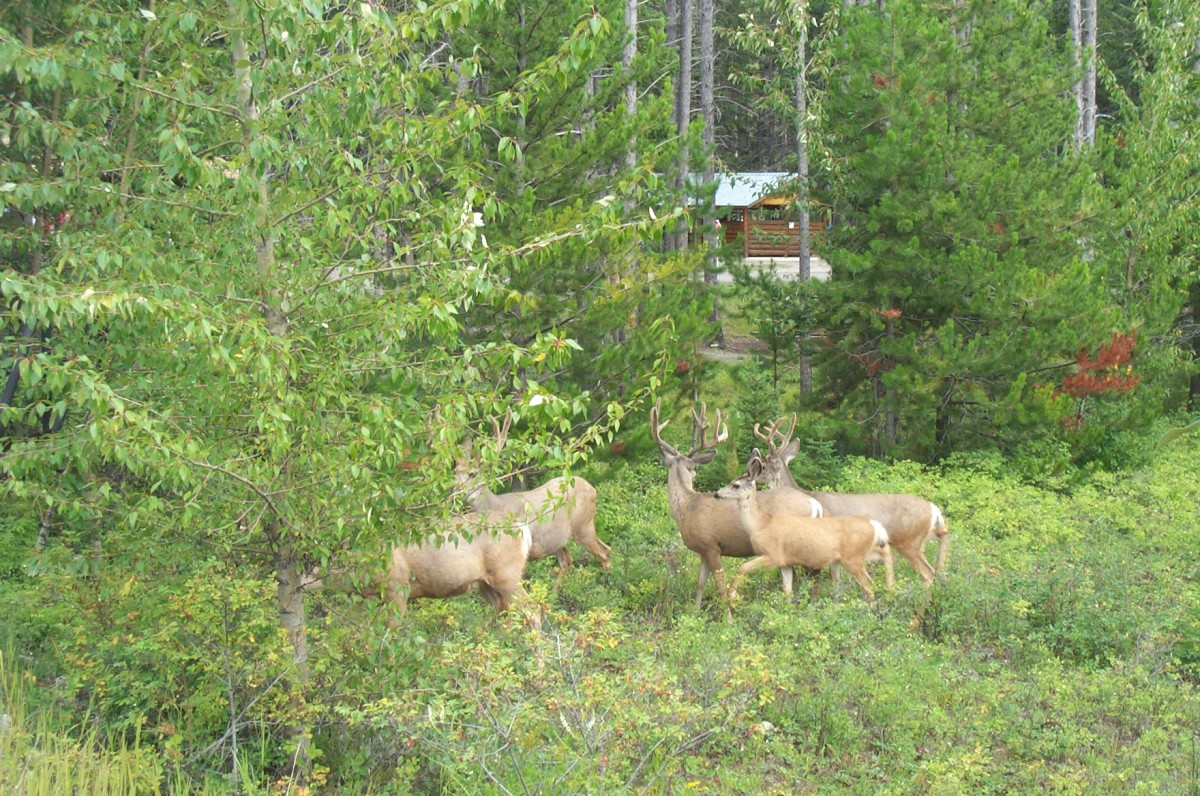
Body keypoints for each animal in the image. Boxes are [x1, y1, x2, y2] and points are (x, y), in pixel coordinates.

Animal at [456, 410, 614, 585]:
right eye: (455, 471)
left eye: (472, 474)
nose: (454, 489)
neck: (495, 505)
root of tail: (593, 489)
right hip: (558, 539)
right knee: (568, 560)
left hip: (583, 525)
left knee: (604, 551)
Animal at [648, 398, 825, 609]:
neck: (686, 507)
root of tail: (814, 504)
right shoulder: (703, 550)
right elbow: (700, 583)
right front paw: (695, 612)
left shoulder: (712, 546)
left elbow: (720, 587)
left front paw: (727, 614)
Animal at [710, 451, 892, 600]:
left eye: (736, 485)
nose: (716, 494)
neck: (761, 523)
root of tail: (873, 524)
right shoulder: (786, 563)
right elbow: (787, 591)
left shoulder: (774, 554)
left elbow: (743, 567)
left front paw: (732, 595)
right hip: (854, 555)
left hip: (853, 558)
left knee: (869, 585)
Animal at [753, 413, 950, 588]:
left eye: (765, 464)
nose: (753, 474)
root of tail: (933, 508)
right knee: (940, 559)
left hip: (909, 541)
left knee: (928, 573)